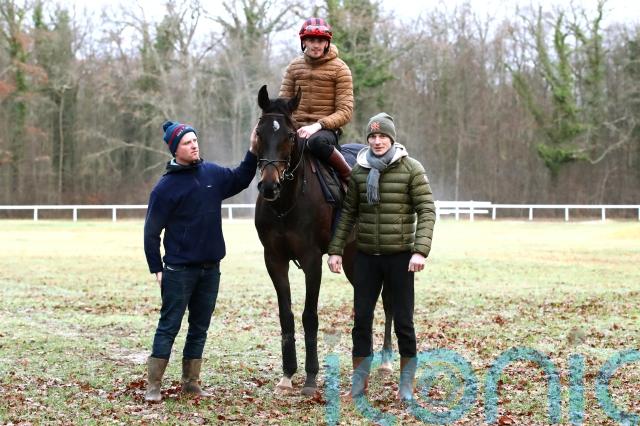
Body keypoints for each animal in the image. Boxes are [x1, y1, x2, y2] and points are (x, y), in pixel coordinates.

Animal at [253, 85, 394, 396]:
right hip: (353, 259)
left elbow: (309, 315)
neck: (288, 201)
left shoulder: (311, 260)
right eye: (259, 132)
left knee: (390, 302)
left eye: (290, 135)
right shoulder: (274, 260)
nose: (269, 186)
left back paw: (387, 361)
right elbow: (286, 314)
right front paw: (287, 374)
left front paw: (310, 377)